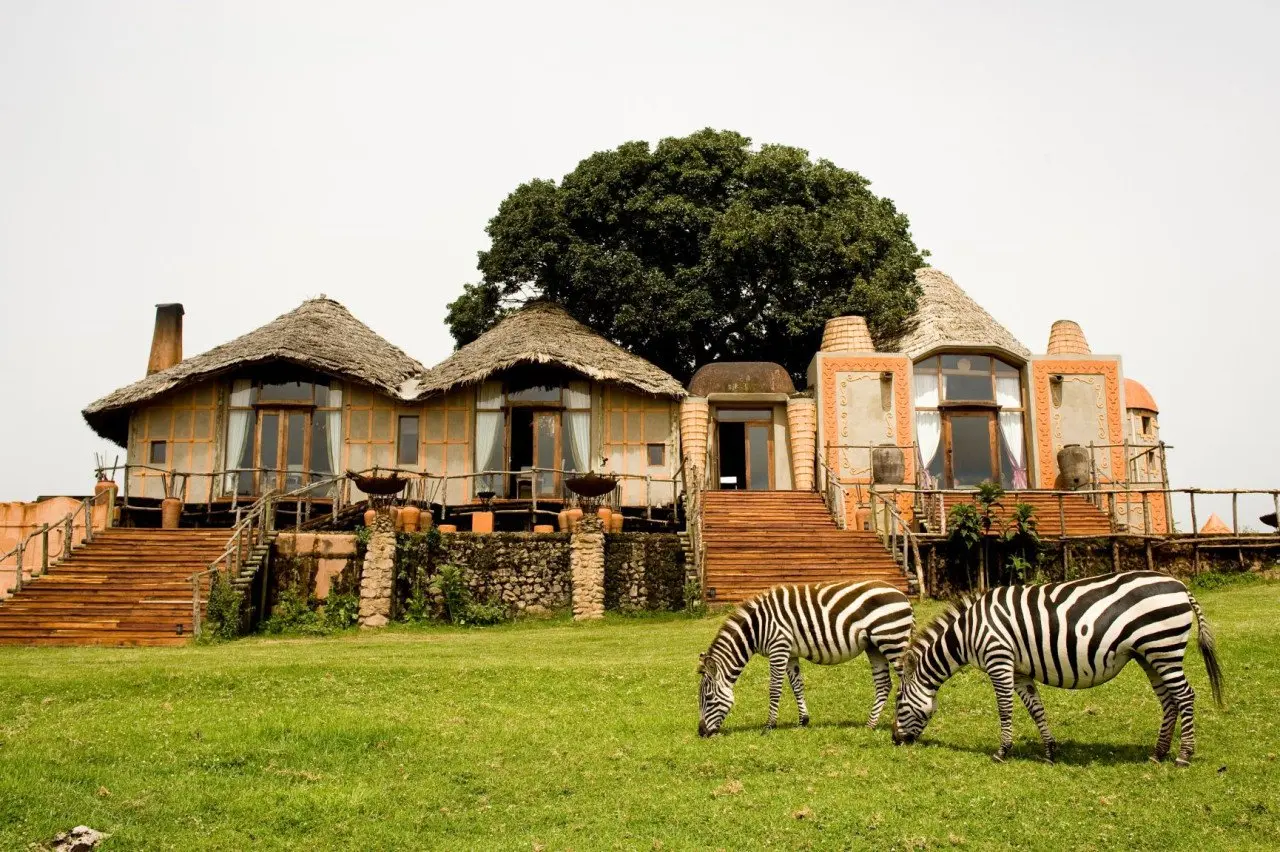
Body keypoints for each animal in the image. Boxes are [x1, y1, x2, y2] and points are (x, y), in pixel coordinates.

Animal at [696, 580, 916, 731]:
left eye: (708, 698)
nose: (701, 733)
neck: (756, 627)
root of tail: (903, 596)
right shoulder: (790, 653)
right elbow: (797, 686)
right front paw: (803, 721)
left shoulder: (778, 647)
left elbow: (774, 688)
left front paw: (769, 725)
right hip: (875, 647)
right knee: (884, 684)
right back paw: (870, 725)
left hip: (892, 640)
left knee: (907, 681)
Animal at [890, 570, 1218, 762]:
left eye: (899, 701)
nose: (894, 740)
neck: (967, 632)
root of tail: (1180, 585)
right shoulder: (1020, 670)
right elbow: (1036, 709)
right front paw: (1049, 751)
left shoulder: (999, 660)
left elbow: (1005, 709)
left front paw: (1002, 751)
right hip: (1150, 654)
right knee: (1169, 700)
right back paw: (1158, 753)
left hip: (1163, 647)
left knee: (1185, 696)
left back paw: (1184, 755)